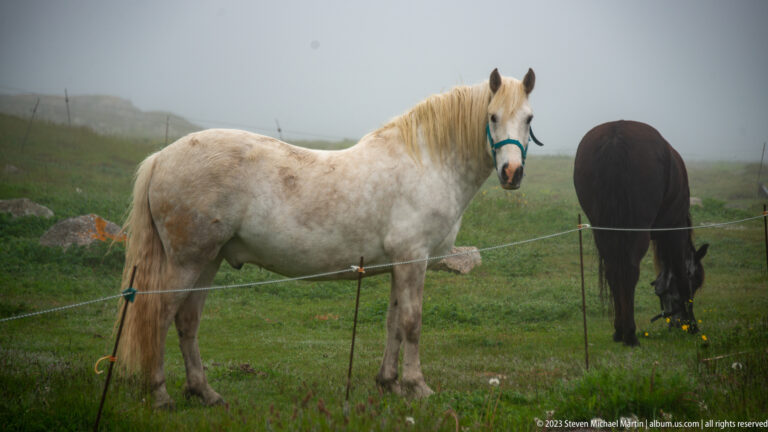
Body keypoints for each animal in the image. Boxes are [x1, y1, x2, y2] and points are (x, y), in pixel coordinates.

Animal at [118, 68, 541, 408]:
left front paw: (389, 383)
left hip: (209, 260)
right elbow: (412, 322)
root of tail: (161, 157)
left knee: (188, 321)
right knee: (159, 316)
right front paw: (417, 386)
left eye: (529, 118)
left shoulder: (398, 265)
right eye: (492, 116)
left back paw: (205, 393)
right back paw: (160, 394)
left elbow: (392, 323)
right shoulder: (413, 260)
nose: (512, 173)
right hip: (187, 261)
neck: (426, 163)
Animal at [573, 120, 708, 346]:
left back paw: (619, 330)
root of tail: (615, 138)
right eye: (697, 282)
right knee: (629, 271)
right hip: (637, 230)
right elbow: (680, 276)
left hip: (603, 231)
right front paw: (692, 325)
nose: (677, 323)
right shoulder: (675, 229)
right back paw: (630, 333)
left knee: (613, 271)